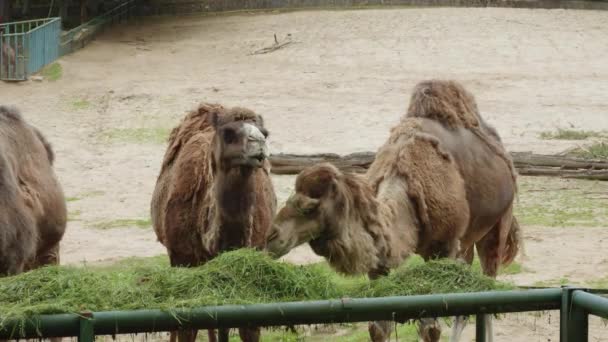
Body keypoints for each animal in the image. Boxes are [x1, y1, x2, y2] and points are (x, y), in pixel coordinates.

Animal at [151, 102, 276, 342]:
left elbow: (247, 326)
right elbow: (187, 325)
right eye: (228, 133)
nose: (259, 144)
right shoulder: (183, 260)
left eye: (265, 133)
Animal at [264, 81, 520, 342]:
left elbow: (431, 327)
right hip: (467, 238)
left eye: (310, 206)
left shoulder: (443, 248)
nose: (271, 236)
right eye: (290, 196)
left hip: (499, 222)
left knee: (488, 282)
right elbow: (379, 326)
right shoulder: (379, 263)